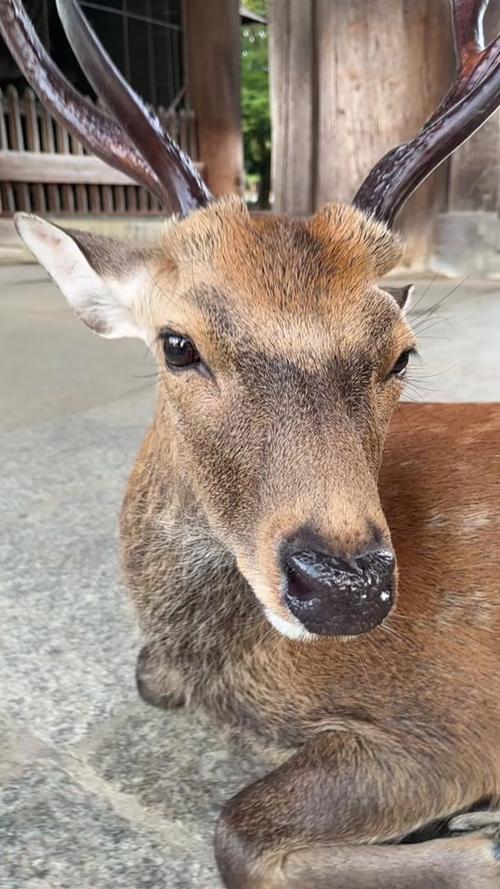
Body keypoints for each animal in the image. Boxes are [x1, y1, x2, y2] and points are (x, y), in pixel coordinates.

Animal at [2, 0, 500, 886]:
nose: (344, 586)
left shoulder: (456, 719)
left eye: (401, 353)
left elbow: (236, 830)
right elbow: (147, 676)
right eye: (177, 343)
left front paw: (477, 832)